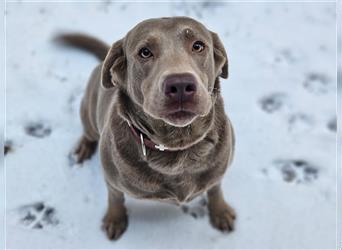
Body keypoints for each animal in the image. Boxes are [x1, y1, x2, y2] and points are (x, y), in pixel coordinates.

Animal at [57, 16, 236, 239]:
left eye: (198, 46)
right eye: (144, 52)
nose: (180, 85)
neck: (177, 147)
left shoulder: (218, 171)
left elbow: (215, 189)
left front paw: (220, 211)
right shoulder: (112, 181)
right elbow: (115, 198)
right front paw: (115, 219)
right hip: (88, 111)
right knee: (88, 132)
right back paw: (83, 147)